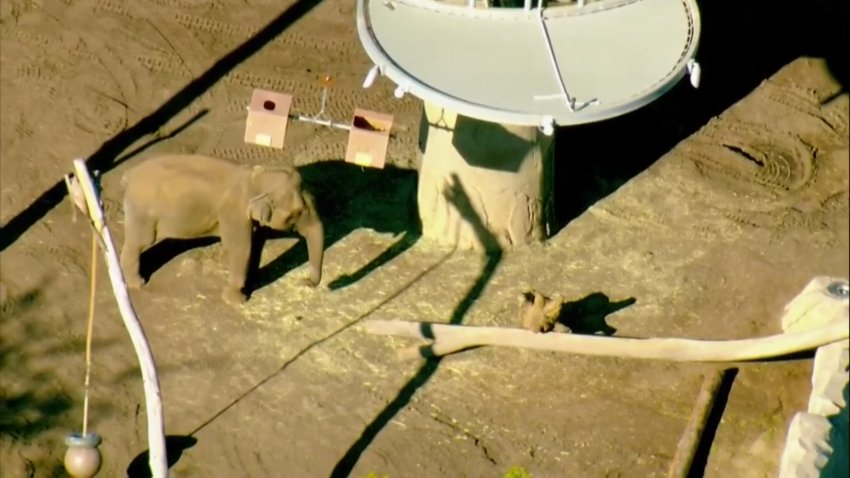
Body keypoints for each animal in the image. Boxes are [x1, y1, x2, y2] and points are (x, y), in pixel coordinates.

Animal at [116, 155, 322, 304]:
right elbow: (240, 248)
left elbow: (254, 243)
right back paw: (137, 284)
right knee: (139, 243)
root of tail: (128, 175)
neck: (255, 177)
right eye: (298, 212)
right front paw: (237, 301)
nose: (306, 282)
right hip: (142, 212)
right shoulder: (234, 212)